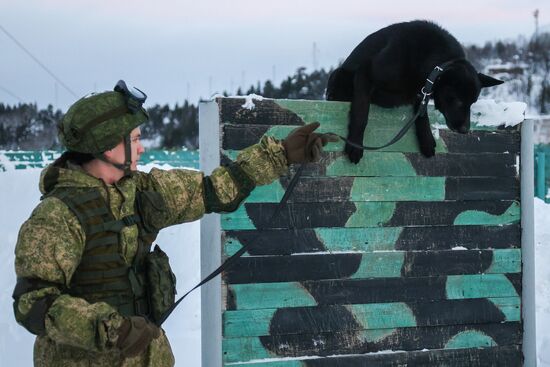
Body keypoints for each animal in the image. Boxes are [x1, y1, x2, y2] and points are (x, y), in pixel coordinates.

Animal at [328, 20, 504, 163]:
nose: (465, 130)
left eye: (473, 102)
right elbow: (361, 112)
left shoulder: (421, 91)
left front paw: (426, 139)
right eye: (458, 100)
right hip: (338, 75)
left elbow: (422, 113)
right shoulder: (365, 73)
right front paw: (355, 144)